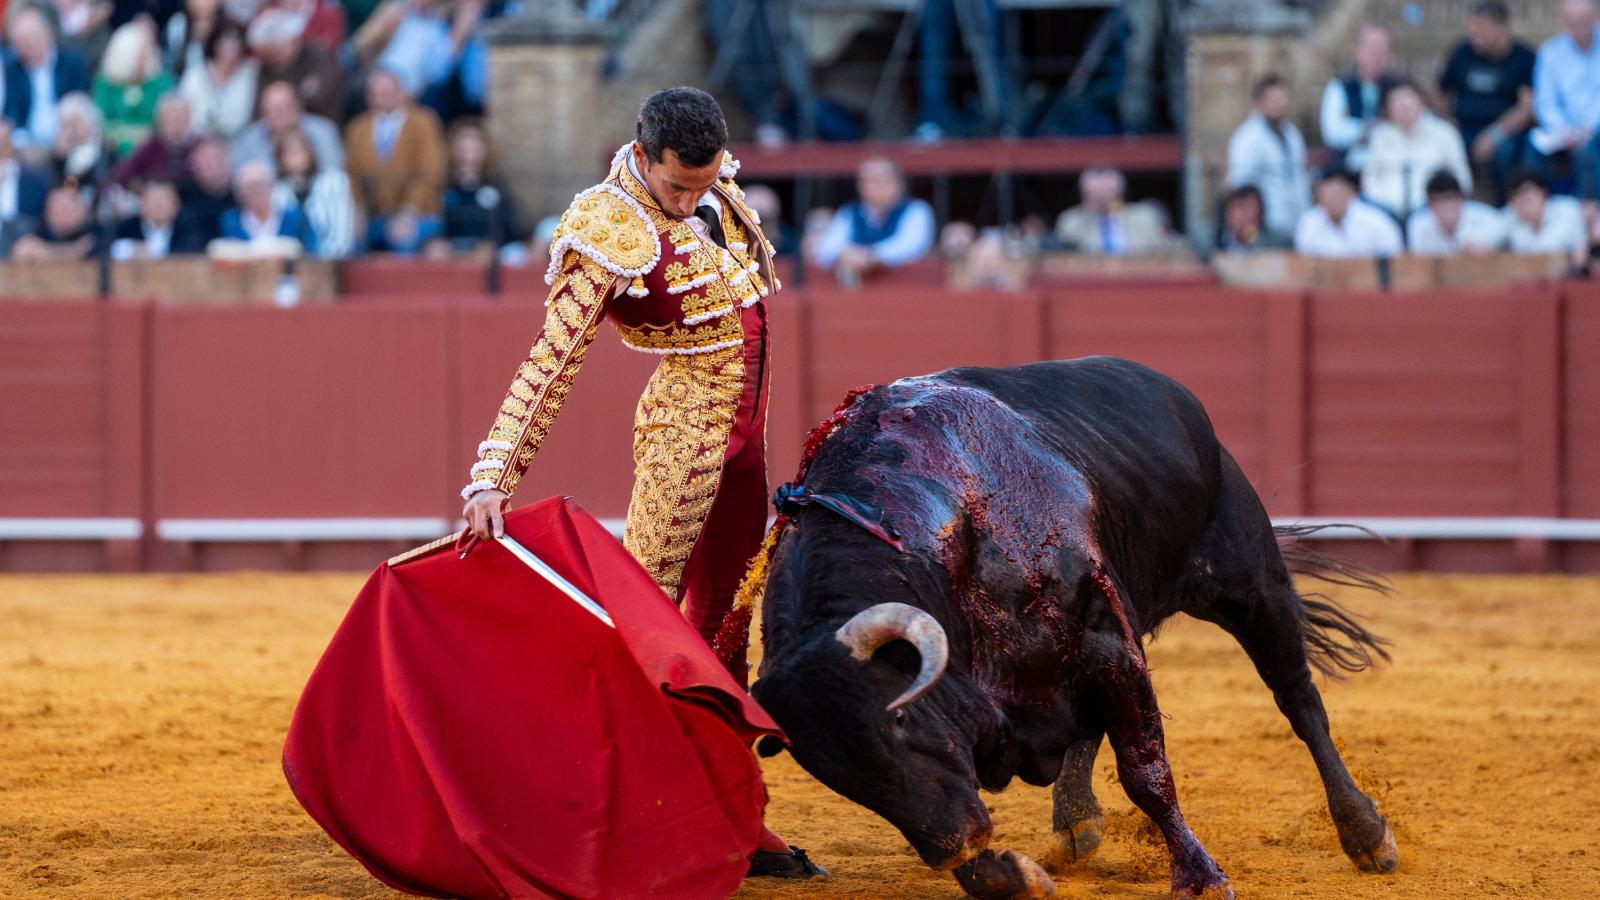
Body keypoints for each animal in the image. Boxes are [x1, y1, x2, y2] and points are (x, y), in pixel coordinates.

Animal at [755, 357, 1395, 896]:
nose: (957, 844)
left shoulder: (1104, 639)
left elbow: (1144, 771)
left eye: (902, 717)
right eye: (833, 772)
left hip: (1251, 585)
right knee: (1088, 724)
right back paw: (1076, 820)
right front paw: (1009, 876)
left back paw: (1366, 834)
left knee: (1298, 700)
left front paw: (1201, 879)